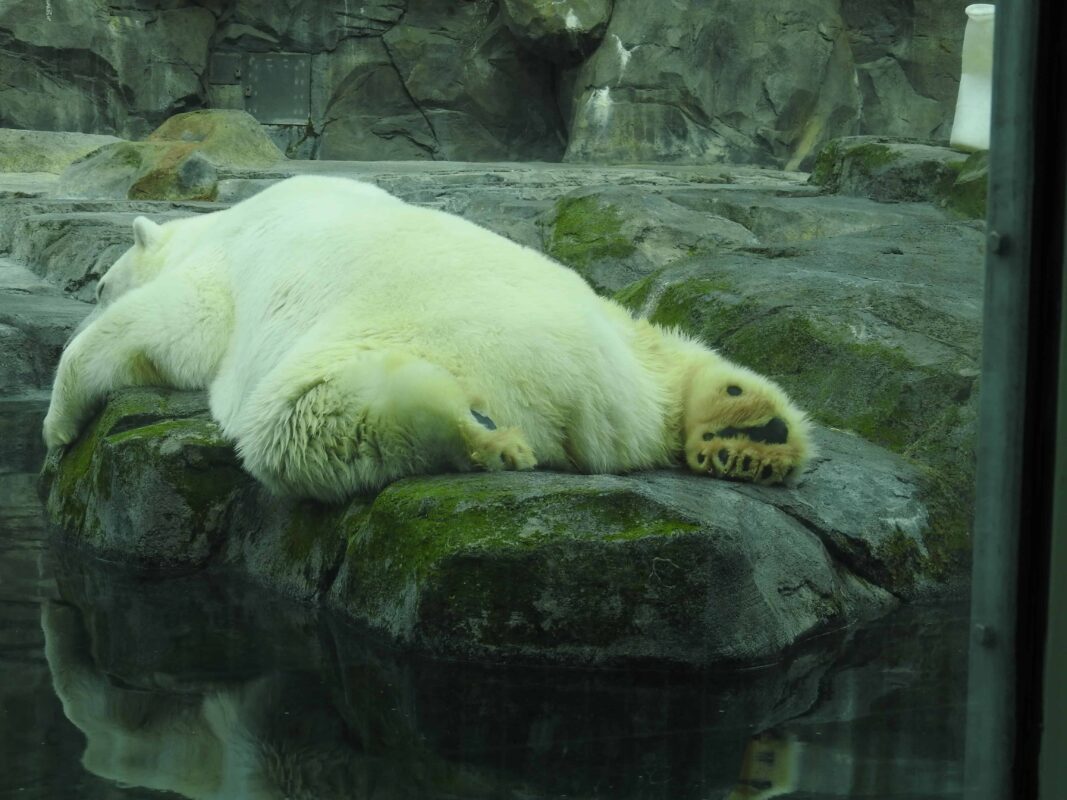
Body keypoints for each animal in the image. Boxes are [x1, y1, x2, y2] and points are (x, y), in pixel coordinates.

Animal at [39, 177, 806, 501]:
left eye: (100, 285)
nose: (88, 294)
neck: (219, 221)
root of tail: (584, 391)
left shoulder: (218, 279)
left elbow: (160, 327)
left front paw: (54, 433)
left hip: (379, 339)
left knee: (302, 419)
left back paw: (478, 435)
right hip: (612, 329)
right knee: (664, 348)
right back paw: (745, 428)